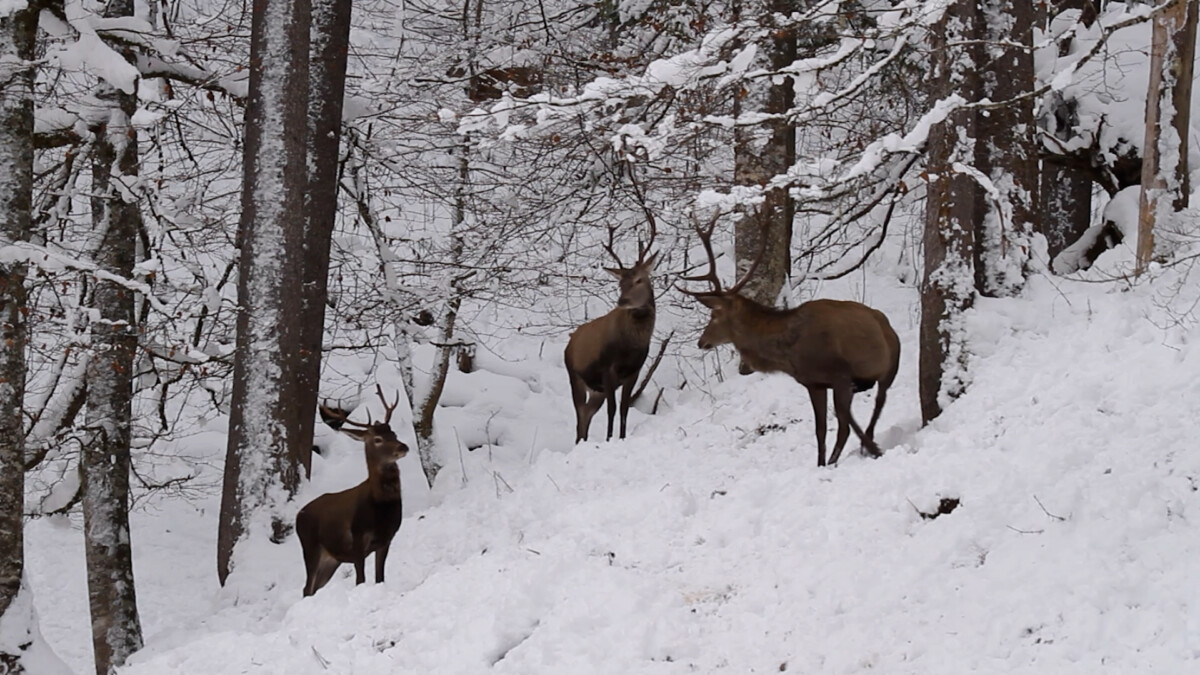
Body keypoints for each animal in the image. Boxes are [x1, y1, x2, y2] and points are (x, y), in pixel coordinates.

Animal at [297, 384, 410, 593]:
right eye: (377, 439)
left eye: (394, 434)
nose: (403, 447)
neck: (380, 505)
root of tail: (297, 516)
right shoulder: (357, 537)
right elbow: (360, 579)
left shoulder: (387, 537)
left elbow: (380, 578)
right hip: (310, 547)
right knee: (307, 588)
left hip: (331, 559)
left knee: (314, 588)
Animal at [561, 218, 657, 444]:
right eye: (620, 283)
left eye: (639, 280)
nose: (622, 301)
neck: (630, 346)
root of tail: (570, 342)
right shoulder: (607, 368)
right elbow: (612, 410)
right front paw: (609, 439)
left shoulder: (633, 371)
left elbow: (623, 409)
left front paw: (621, 438)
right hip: (575, 376)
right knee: (580, 414)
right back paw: (580, 443)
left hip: (597, 390)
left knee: (587, 413)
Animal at [676, 212, 902, 466]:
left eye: (714, 315)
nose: (701, 342)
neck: (789, 355)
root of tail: (886, 324)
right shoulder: (814, 383)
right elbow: (821, 430)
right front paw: (821, 464)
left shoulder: (840, 374)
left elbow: (842, 424)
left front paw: (864, 452)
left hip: (891, 366)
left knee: (876, 404)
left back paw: (869, 444)